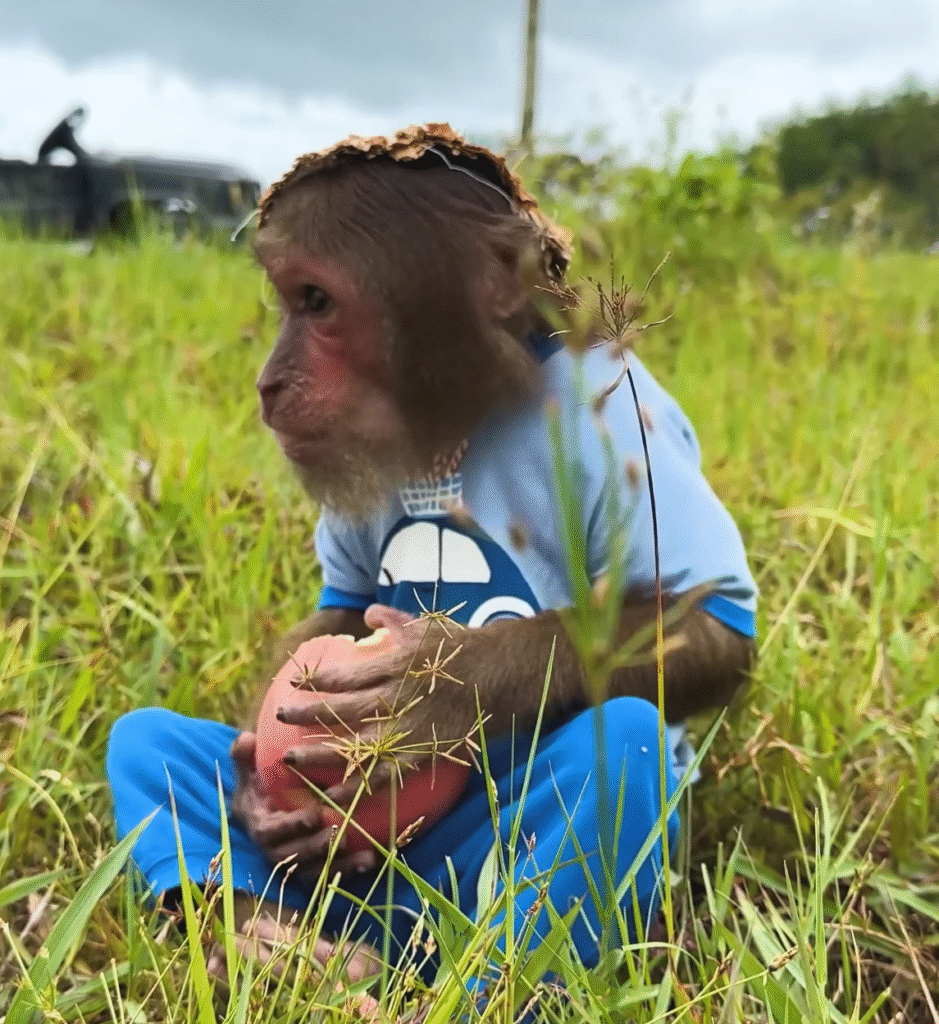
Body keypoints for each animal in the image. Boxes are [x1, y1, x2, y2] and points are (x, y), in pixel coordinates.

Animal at [106, 124, 757, 1000]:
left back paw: (495, 984)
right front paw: (258, 796)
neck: (463, 419)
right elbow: (344, 604)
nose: (269, 382)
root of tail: (393, 924)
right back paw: (278, 943)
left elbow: (701, 626)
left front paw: (446, 682)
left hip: (458, 878)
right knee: (145, 742)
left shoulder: (627, 427)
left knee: (618, 744)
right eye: (287, 301)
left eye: (315, 302)